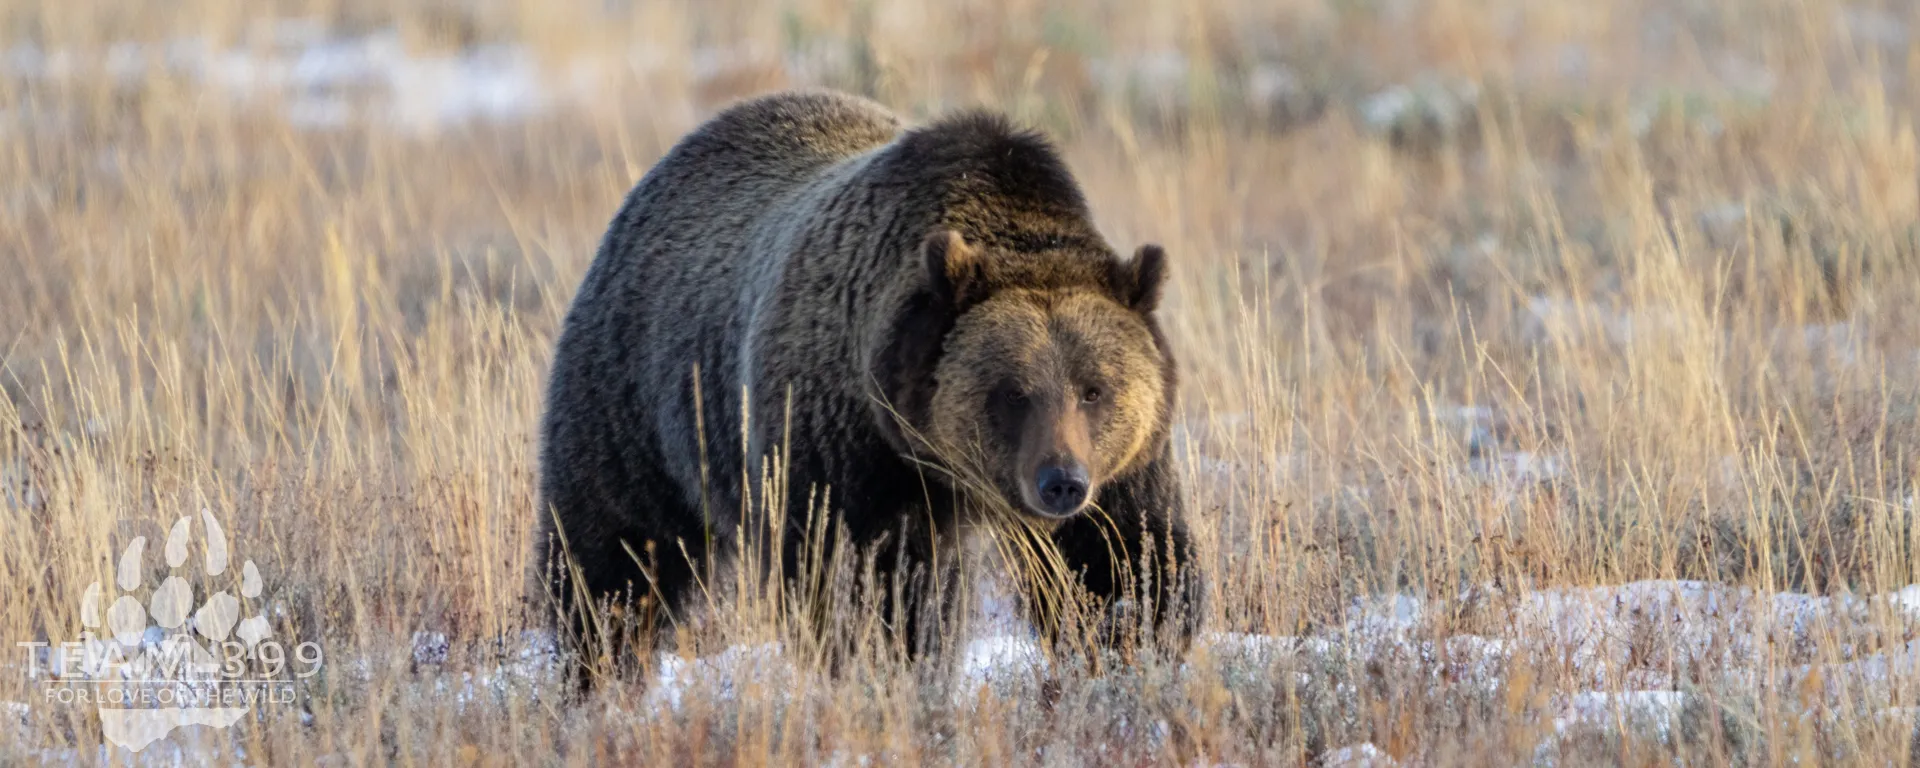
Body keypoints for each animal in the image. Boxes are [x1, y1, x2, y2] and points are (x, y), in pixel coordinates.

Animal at [534, 89, 1202, 680]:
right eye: (1012, 392)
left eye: (1095, 389)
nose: (1060, 482)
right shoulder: (844, 447)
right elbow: (864, 584)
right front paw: (888, 664)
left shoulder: (1123, 469)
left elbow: (1122, 562)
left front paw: (1131, 647)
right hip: (641, 402)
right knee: (614, 554)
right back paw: (597, 665)